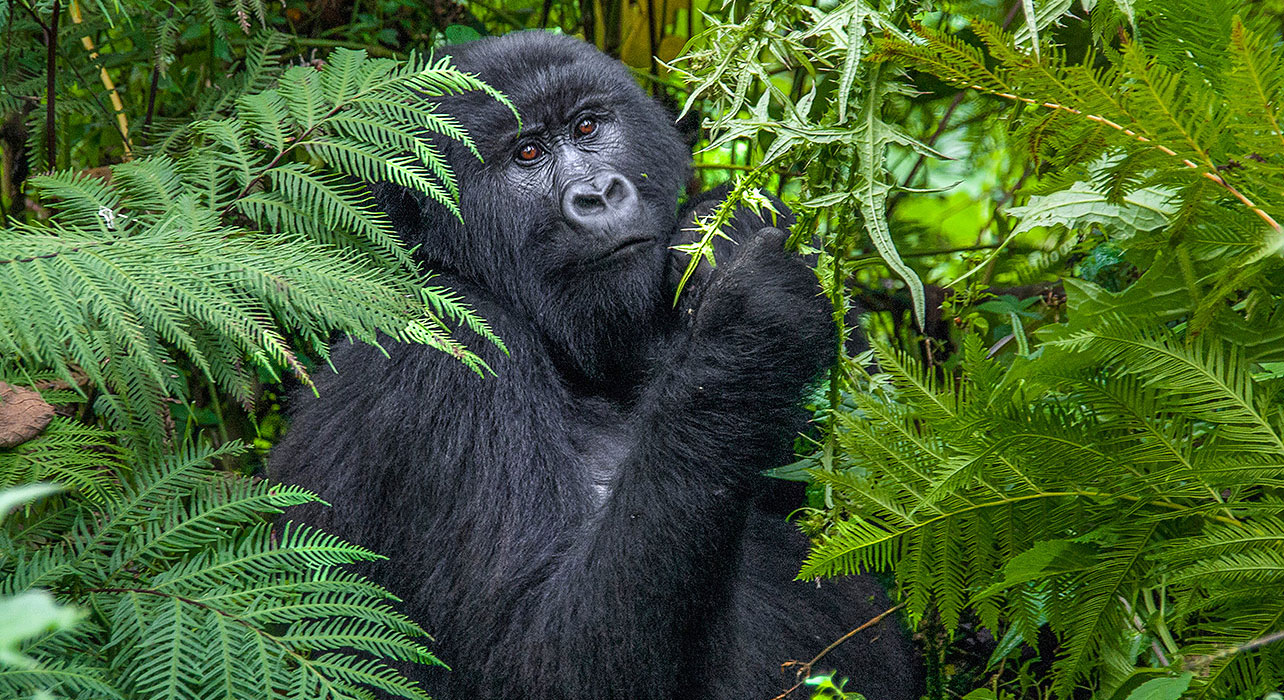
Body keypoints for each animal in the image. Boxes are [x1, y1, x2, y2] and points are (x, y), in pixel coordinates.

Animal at [270, 30, 919, 693]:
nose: (598, 193)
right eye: (527, 153)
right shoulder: (438, 361)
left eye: (587, 127)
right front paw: (752, 320)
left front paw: (730, 223)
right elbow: (541, 656)